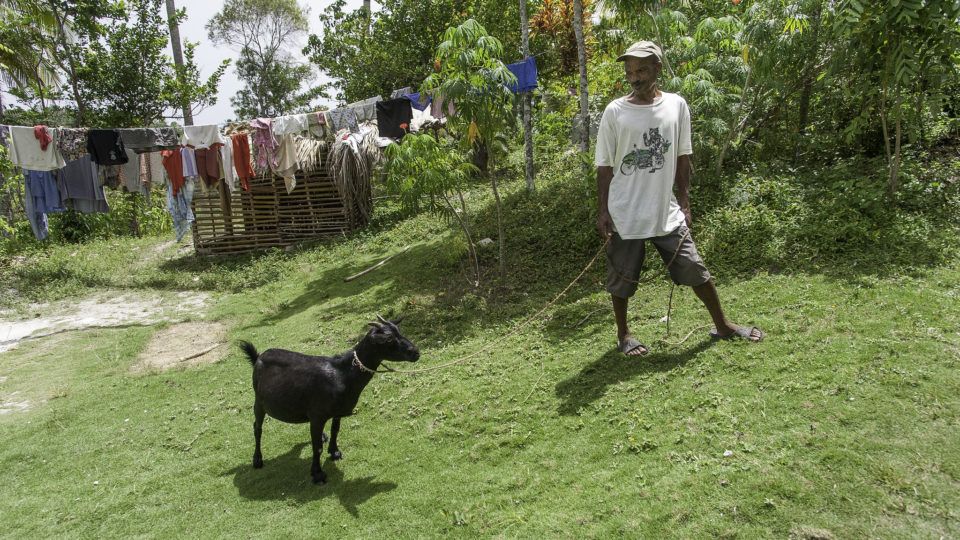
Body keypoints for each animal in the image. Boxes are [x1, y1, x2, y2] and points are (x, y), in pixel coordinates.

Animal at [238, 316, 418, 486]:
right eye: (388, 340)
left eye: (399, 331)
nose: (416, 352)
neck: (342, 374)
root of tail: (258, 357)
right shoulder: (318, 415)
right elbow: (317, 448)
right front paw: (318, 474)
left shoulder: (336, 411)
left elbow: (335, 430)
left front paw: (334, 451)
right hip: (258, 401)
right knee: (257, 427)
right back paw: (257, 460)